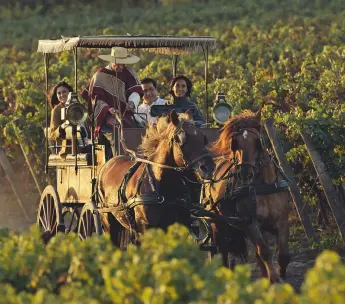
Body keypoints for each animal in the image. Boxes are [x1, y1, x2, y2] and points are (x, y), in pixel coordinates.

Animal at [97, 110, 215, 246]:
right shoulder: (146, 228)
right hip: (107, 220)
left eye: (203, 138)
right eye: (180, 139)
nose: (208, 168)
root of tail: (108, 163)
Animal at [203, 110, 288, 284]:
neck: (263, 185)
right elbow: (264, 252)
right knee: (222, 252)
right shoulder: (250, 223)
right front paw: (274, 279)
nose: (245, 174)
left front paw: (280, 275)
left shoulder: (282, 220)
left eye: (258, 141)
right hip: (217, 225)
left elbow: (283, 255)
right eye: (235, 143)